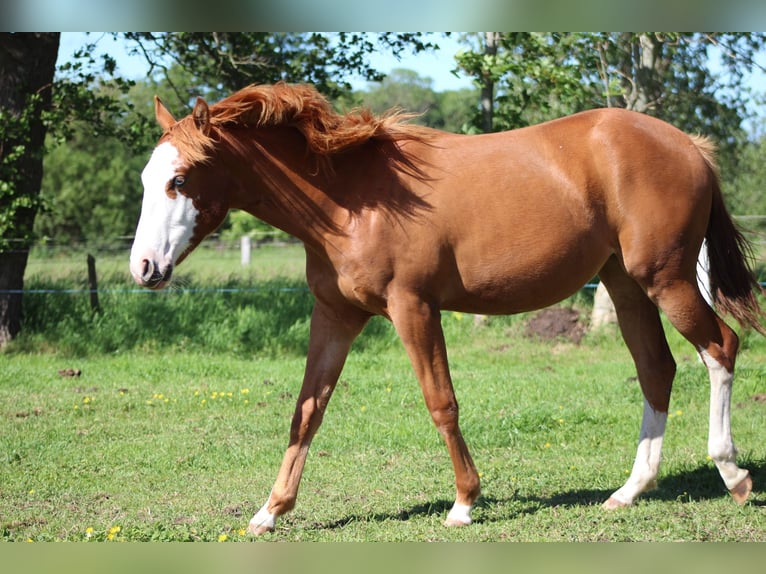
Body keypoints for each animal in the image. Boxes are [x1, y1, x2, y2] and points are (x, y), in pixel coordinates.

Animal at [129, 82, 764, 535]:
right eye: (145, 179)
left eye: (179, 180)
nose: (144, 269)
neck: (354, 201)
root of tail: (690, 147)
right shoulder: (335, 316)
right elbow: (307, 410)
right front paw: (270, 511)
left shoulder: (413, 308)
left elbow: (442, 403)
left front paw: (464, 502)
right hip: (626, 284)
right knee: (657, 368)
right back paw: (630, 491)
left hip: (666, 280)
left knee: (720, 348)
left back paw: (733, 473)